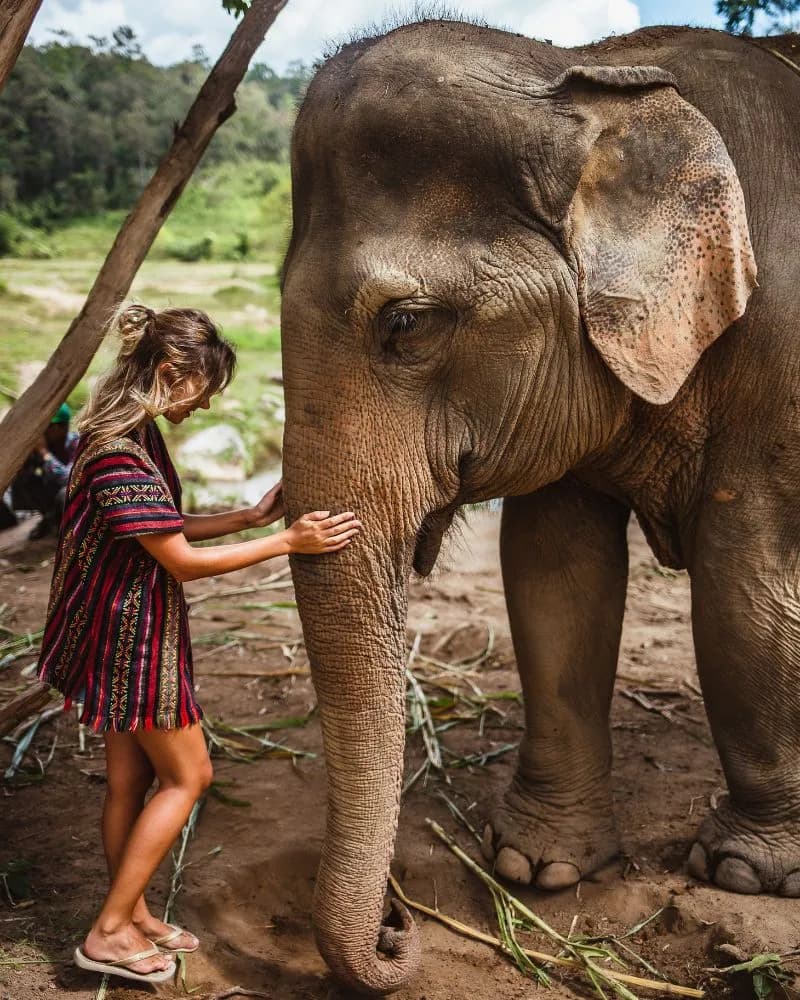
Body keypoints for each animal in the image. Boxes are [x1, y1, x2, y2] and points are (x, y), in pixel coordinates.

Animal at [279, 18, 800, 995]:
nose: (398, 926)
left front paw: (751, 873)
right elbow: (554, 573)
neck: (583, 71)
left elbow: (747, 580)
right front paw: (539, 869)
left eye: (405, 324)